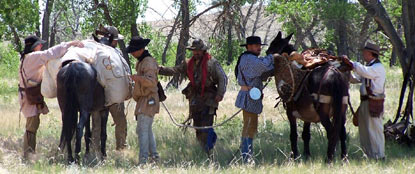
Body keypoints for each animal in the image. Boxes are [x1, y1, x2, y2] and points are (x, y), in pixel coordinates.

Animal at [270, 32, 352, 162]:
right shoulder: (308, 114)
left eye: (273, 44)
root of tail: (334, 73)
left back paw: (329, 158)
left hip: (323, 112)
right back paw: (344, 158)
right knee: (342, 133)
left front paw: (295, 156)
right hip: (342, 110)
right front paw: (307, 155)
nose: (266, 53)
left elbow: (293, 135)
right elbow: (306, 134)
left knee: (332, 132)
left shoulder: (290, 112)